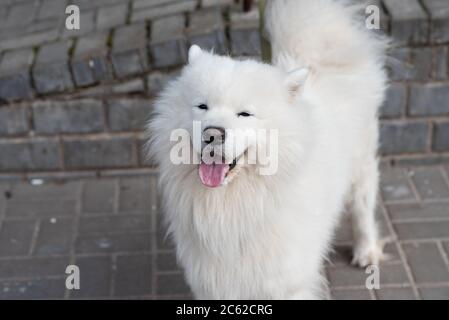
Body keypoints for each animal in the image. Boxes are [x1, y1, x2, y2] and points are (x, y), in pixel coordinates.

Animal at [146, 0, 384, 300]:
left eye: (245, 114)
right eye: (202, 106)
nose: (212, 134)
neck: (235, 202)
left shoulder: (284, 280)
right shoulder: (212, 280)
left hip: (361, 166)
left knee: (363, 207)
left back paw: (366, 251)